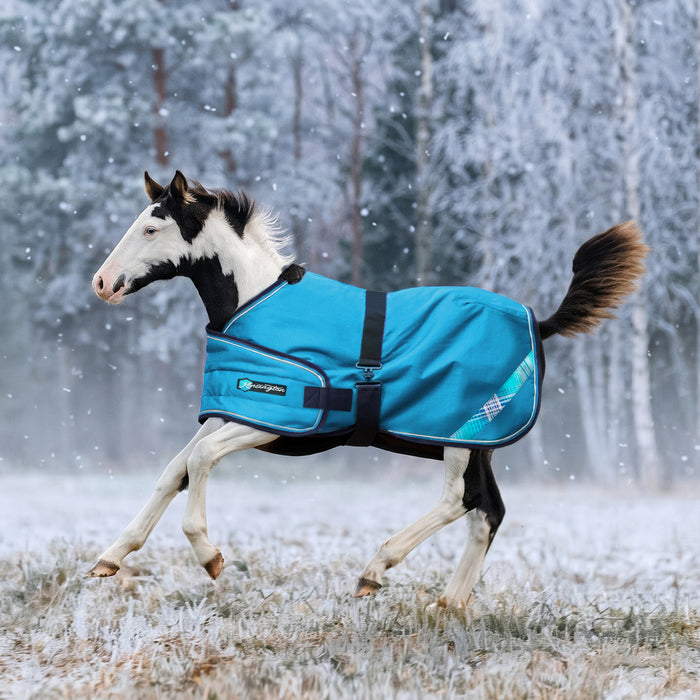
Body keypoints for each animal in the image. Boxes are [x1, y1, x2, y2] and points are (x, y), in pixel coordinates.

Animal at [88, 170, 647, 609]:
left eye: (151, 227)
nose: (102, 283)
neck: (253, 303)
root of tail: (540, 324)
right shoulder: (234, 412)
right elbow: (174, 470)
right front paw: (110, 558)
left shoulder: (275, 421)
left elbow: (200, 461)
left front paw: (210, 557)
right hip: (480, 444)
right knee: (487, 512)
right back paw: (448, 605)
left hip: (461, 436)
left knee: (459, 501)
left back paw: (375, 570)